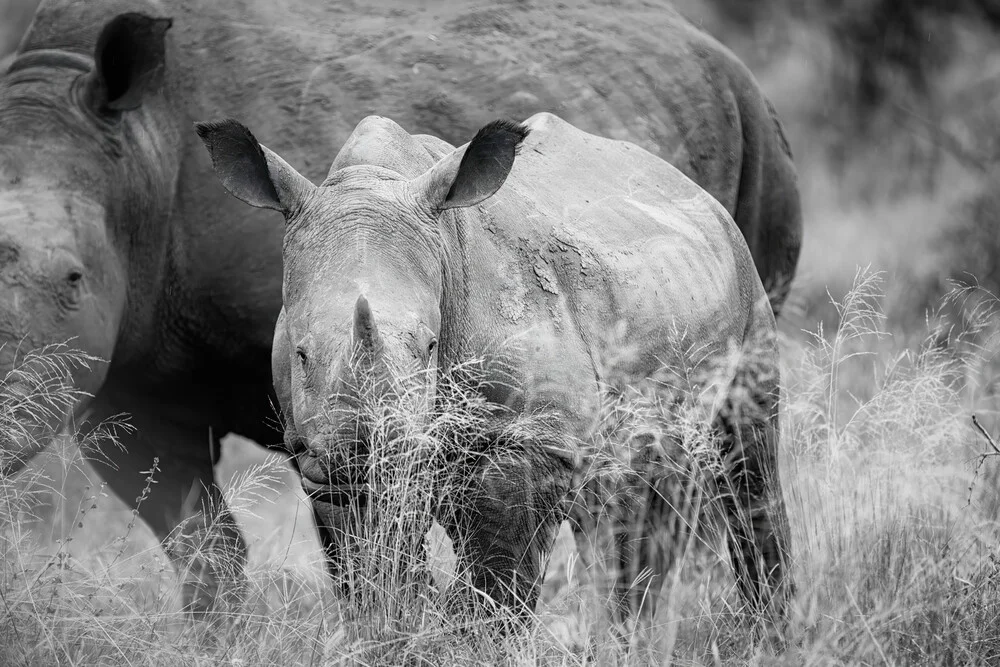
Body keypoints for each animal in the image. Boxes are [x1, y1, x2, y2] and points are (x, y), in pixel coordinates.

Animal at [195, 113, 792, 632]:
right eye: (300, 355)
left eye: (430, 347)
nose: (363, 453)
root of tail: (689, 186)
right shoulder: (316, 459)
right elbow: (374, 577)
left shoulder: (532, 441)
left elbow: (495, 584)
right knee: (630, 502)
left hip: (742, 281)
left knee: (748, 465)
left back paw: (766, 631)